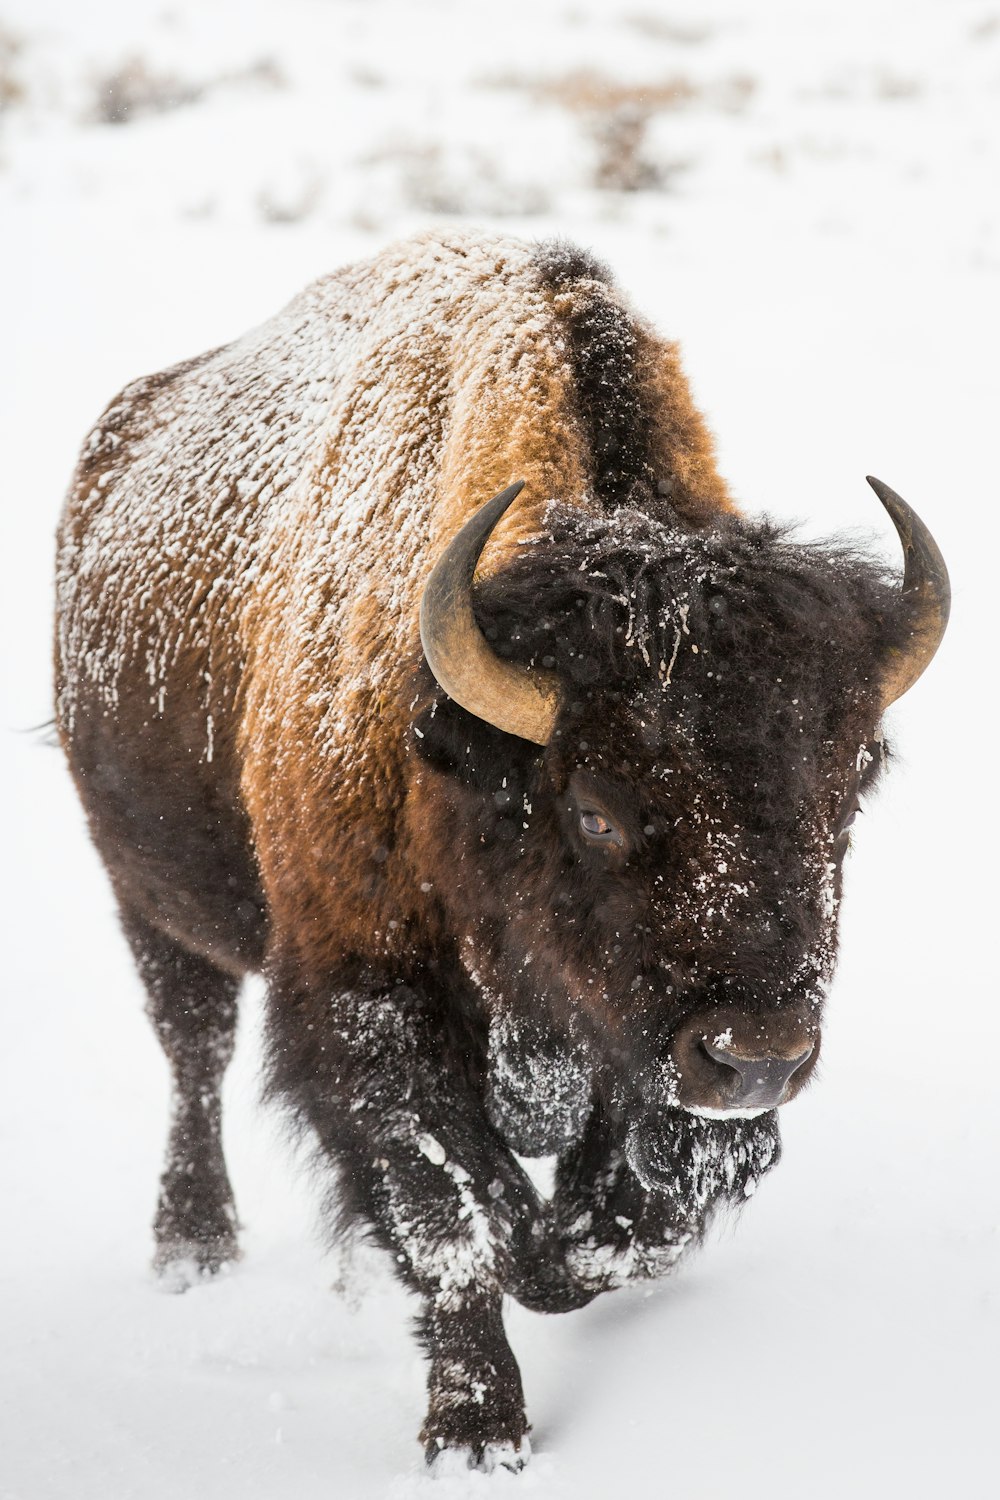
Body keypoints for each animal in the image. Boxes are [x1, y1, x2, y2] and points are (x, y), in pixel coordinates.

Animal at [56, 228, 953, 1470]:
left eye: (851, 783)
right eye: (595, 809)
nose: (758, 1058)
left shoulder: (638, 1049)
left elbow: (632, 1215)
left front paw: (560, 1257)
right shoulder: (368, 998)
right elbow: (453, 1215)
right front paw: (477, 1430)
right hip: (151, 899)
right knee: (192, 1051)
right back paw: (192, 1246)